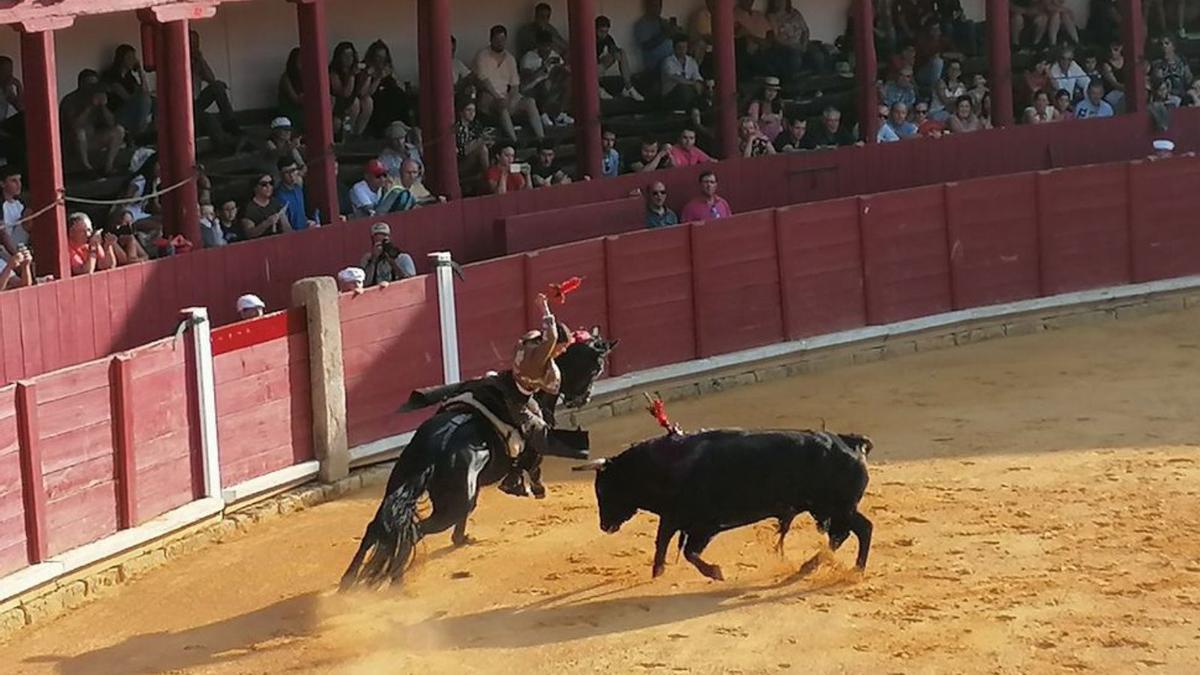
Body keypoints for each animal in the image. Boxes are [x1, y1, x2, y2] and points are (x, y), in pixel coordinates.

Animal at [340, 326, 614, 583]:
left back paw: (348, 581)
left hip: (403, 481)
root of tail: (435, 446)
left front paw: (462, 538)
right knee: (414, 531)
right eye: (595, 369)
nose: (583, 397)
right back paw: (395, 579)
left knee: (377, 528)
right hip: (454, 502)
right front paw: (535, 489)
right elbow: (533, 466)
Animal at [573, 427, 873, 576]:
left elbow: (688, 552)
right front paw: (658, 574)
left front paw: (715, 572)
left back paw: (852, 568)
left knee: (859, 530)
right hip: (829, 509)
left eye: (605, 489)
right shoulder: (674, 518)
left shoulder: (703, 525)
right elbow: (662, 546)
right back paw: (814, 565)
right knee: (844, 534)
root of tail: (849, 442)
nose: (604, 525)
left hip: (836, 507)